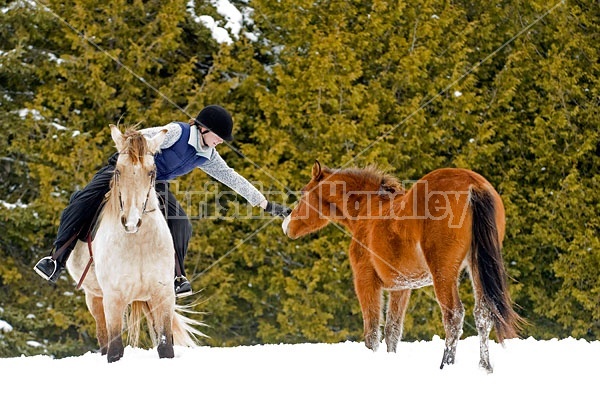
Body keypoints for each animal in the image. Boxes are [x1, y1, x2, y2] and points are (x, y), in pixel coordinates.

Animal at [66, 125, 202, 362]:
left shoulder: (163, 296)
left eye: (152, 172)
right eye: (118, 171)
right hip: (94, 297)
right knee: (103, 340)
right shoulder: (113, 298)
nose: (131, 221)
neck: (138, 246)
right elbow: (114, 350)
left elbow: (165, 347)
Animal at [284, 161, 524, 374]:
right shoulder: (400, 288)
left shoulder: (365, 281)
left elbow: (372, 333)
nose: (287, 226)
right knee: (483, 314)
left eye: (303, 193)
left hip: (443, 273)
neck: (368, 209)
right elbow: (392, 331)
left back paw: (446, 366)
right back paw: (485, 367)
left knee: (454, 316)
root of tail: (473, 184)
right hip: (476, 267)